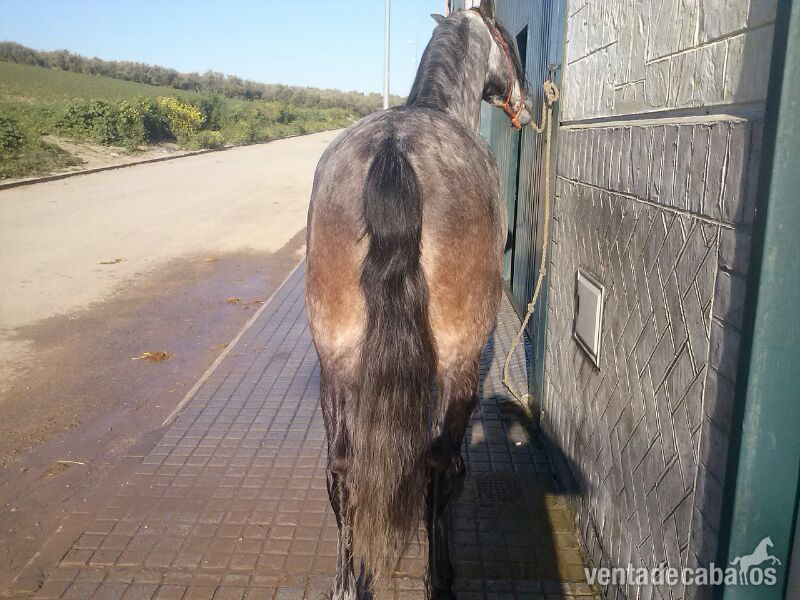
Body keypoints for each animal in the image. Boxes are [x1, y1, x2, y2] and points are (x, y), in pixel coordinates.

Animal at [305, 1, 530, 597]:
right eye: (510, 43)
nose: (524, 105)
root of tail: (393, 150)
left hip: (336, 358)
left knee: (341, 470)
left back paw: (348, 582)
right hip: (457, 358)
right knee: (438, 466)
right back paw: (440, 578)